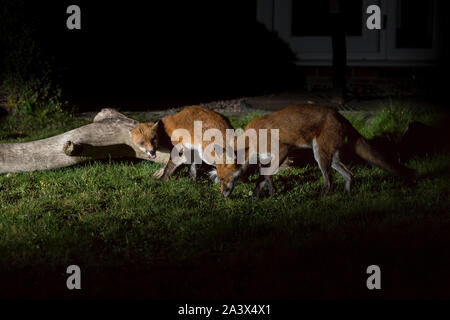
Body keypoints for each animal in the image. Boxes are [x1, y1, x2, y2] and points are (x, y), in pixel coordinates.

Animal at [219, 104, 414, 198]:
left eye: (221, 179)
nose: (222, 196)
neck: (251, 141)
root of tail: (339, 115)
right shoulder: (266, 159)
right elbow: (261, 179)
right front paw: (257, 197)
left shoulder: (282, 150)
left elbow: (266, 177)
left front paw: (272, 194)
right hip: (330, 158)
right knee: (350, 174)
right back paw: (346, 195)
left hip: (320, 156)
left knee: (330, 182)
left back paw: (320, 198)